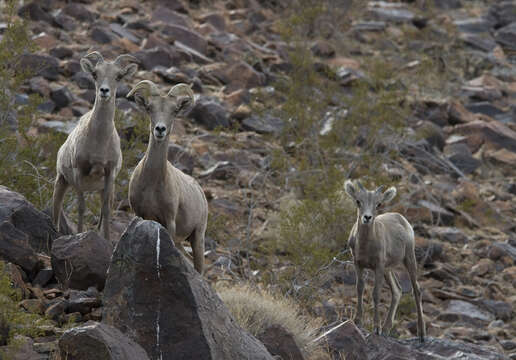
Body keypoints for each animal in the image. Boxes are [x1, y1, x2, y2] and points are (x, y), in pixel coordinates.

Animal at [52, 51, 139, 242]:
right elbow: (81, 207)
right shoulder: (79, 172)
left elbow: (105, 210)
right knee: (56, 208)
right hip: (61, 181)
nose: (104, 91)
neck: (99, 143)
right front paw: (79, 234)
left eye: (118, 76)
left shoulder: (108, 174)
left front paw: (106, 240)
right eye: (95, 74)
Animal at [126, 80, 208, 274]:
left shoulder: (169, 222)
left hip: (198, 237)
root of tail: (201, 193)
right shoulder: (140, 215)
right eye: (150, 108)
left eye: (174, 110)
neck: (151, 184)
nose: (160, 129)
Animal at [344, 180, 426, 344]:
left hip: (408, 259)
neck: (366, 246)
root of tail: (403, 220)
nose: (367, 217)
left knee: (416, 291)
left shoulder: (378, 267)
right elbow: (359, 288)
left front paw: (377, 328)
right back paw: (387, 329)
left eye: (379, 204)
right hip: (389, 270)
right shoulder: (358, 264)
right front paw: (357, 321)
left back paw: (421, 335)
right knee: (397, 290)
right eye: (358, 201)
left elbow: (376, 294)